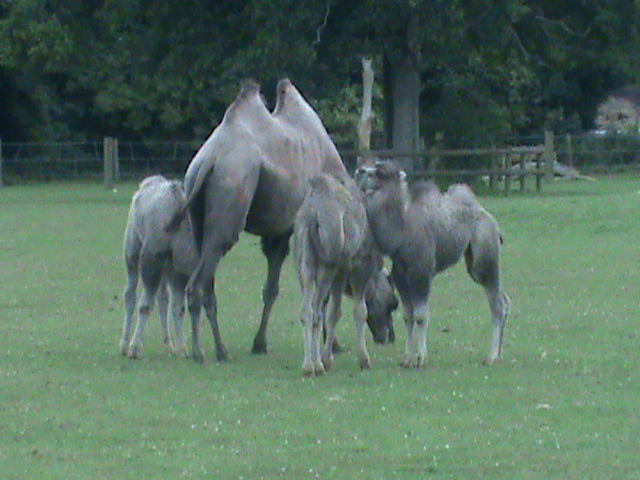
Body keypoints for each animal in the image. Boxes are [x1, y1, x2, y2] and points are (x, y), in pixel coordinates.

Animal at [121, 175, 203, 359]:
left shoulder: (180, 270)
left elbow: (178, 307)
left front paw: (182, 349)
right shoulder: (151, 258)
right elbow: (145, 305)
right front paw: (135, 348)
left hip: (168, 268)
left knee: (163, 298)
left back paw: (169, 346)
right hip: (133, 250)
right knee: (130, 294)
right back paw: (124, 345)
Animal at [168, 79, 350, 363]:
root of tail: (209, 159)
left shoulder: (278, 232)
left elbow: (271, 289)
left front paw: (259, 343)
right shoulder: (299, 230)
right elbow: (318, 291)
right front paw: (335, 345)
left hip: (197, 212)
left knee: (207, 279)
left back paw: (216, 348)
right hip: (232, 189)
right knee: (198, 283)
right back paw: (208, 351)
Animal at [294, 173, 396, 376]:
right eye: (392, 303)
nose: (387, 336)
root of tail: (312, 214)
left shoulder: (341, 272)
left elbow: (334, 312)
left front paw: (328, 359)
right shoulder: (360, 267)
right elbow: (360, 310)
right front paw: (364, 360)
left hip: (306, 264)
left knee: (307, 310)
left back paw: (308, 365)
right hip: (327, 265)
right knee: (316, 311)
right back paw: (315, 366)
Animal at [355, 160, 511, 367]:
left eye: (381, 173)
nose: (360, 171)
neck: (402, 232)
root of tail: (493, 222)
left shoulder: (421, 272)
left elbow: (421, 316)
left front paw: (421, 358)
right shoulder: (401, 276)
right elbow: (408, 316)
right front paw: (407, 359)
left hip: (485, 255)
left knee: (497, 304)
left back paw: (491, 356)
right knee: (504, 300)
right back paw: (499, 354)